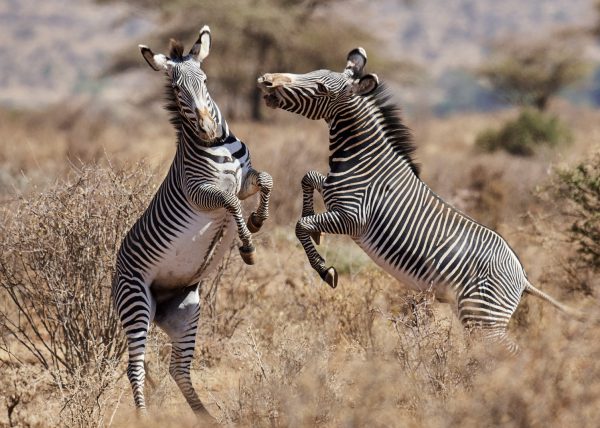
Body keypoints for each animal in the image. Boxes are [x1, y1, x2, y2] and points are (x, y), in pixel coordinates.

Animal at [112, 26, 272, 418]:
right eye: (176, 89)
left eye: (205, 81)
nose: (209, 129)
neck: (217, 147)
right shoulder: (200, 192)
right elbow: (231, 203)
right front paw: (247, 246)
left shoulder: (245, 179)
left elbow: (266, 179)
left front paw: (258, 219)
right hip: (136, 302)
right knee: (135, 366)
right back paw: (144, 419)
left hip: (185, 311)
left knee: (177, 368)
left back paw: (207, 418)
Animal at [256, 47, 580, 354]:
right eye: (311, 72)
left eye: (322, 88)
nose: (267, 80)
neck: (363, 160)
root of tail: (522, 277)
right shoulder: (333, 193)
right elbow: (307, 179)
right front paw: (312, 232)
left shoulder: (353, 218)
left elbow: (301, 225)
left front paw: (325, 269)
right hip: (480, 317)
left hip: (482, 317)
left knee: (510, 354)